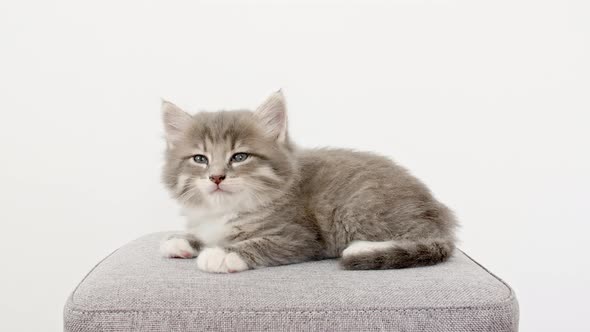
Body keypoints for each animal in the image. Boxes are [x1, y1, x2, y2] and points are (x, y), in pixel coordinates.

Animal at [158, 90, 458, 272]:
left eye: (240, 156)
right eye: (200, 159)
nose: (217, 176)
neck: (228, 209)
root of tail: (439, 213)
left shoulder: (299, 236)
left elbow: (260, 243)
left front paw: (221, 253)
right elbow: (203, 234)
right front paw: (183, 241)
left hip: (359, 207)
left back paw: (363, 247)